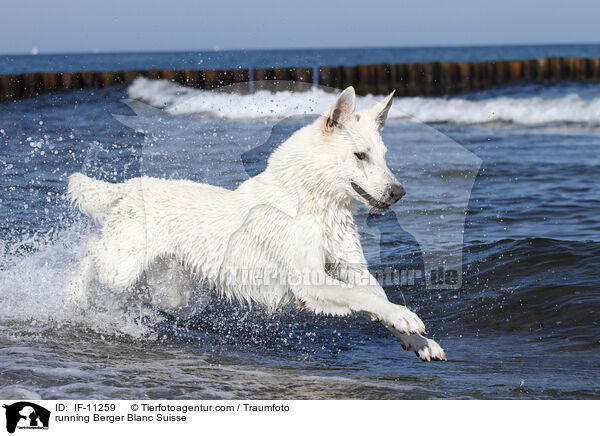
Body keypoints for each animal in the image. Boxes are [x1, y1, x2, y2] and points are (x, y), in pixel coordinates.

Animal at [69, 86, 446, 362]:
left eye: (384, 157)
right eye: (360, 156)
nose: (399, 192)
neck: (311, 202)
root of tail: (132, 185)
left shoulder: (350, 267)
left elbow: (376, 296)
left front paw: (419, 342)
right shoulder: (309, 282)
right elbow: (366, 298)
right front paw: (406, 317)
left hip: (170, 288)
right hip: (121, 267)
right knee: (90, 250)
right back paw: (72, 297)